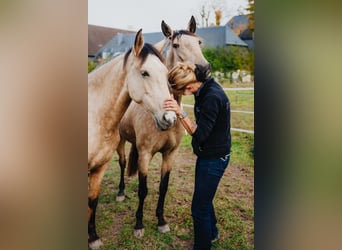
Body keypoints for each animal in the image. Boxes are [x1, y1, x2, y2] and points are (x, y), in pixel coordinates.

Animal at [87, 29, 178, 250]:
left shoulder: (99, 167)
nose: (170, 118)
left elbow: (93, 200)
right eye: (144, 73)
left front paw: (93, 237)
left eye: (166, 74)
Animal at [116, 16, 210, 238]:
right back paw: (121, 192)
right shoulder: (145, 155)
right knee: (122, 163)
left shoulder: (170, 154)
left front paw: (161, 221)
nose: (204, 70)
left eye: (199, 42)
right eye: (176, 45)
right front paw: (139, 225)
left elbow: (163, 187)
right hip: (119, 141)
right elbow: (143, 190)